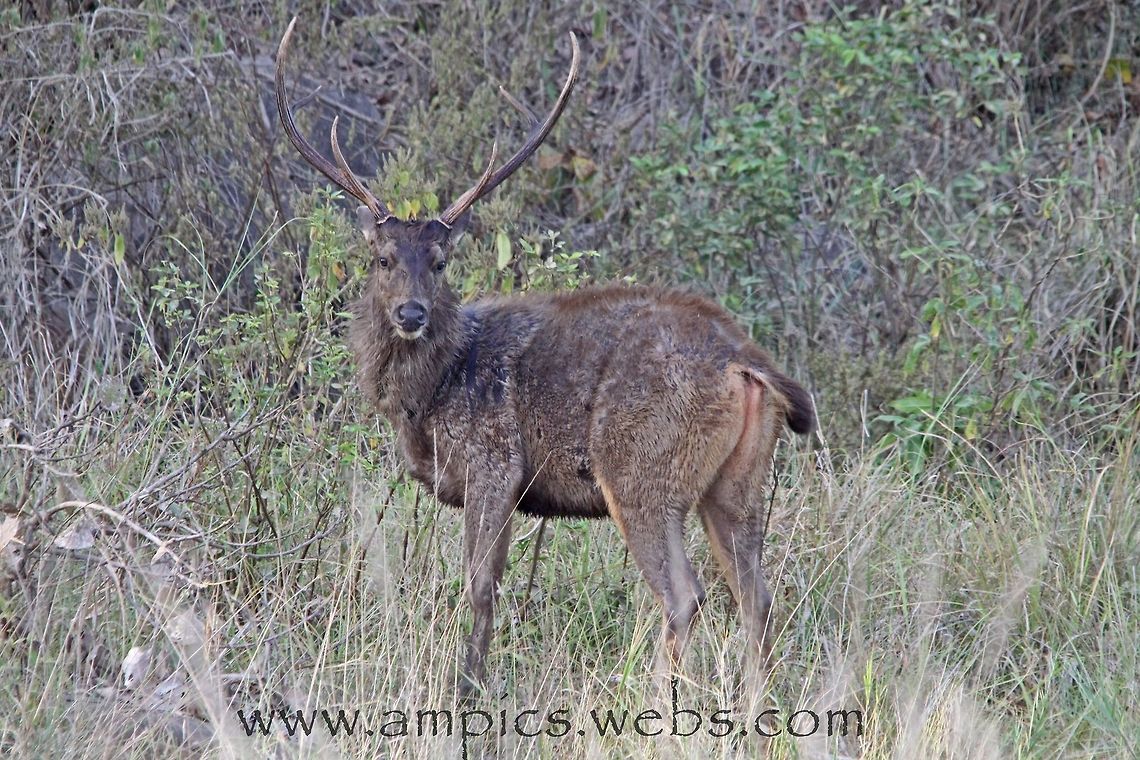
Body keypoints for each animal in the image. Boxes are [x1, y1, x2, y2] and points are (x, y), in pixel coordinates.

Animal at [275, 17, 815, 699]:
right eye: (383, 258)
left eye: (441, 261)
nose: (411, 314)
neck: (430, 397)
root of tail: (744, 361)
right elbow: (494, 584)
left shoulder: (493, 463)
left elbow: (478, 587)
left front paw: (466, 688)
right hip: (737, 483)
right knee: (757, 596)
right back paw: (753, 704)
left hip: (641, 471)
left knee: (684, 595)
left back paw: (653, 699)